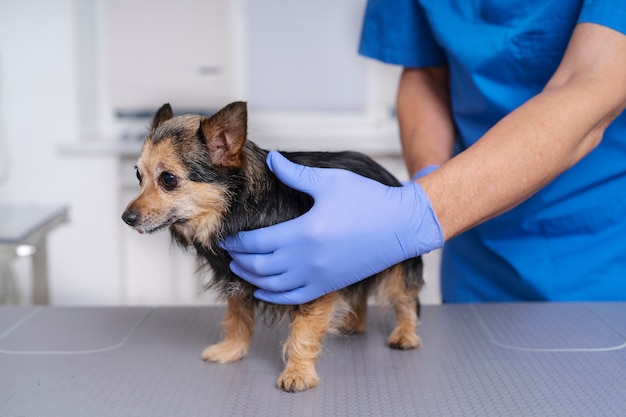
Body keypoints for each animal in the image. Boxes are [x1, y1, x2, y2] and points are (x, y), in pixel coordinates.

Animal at [120, 101, 424, 390]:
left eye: (168, 179)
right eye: (138, 176)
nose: (126, 218)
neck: (241, 209)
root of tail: (385, 172)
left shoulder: (312, 281)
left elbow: (304, 329)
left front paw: (298, 372)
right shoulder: (238, 278)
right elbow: (237, 317)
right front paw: (232, 350)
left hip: (396, 265)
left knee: (404, 298)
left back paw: (405, 334)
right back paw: (354, 322)